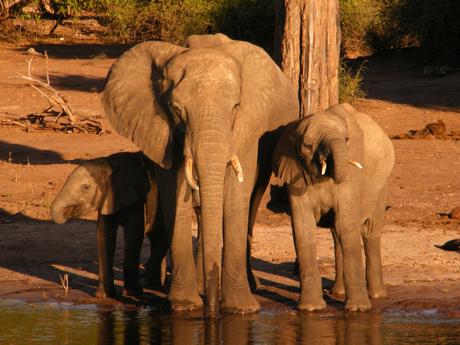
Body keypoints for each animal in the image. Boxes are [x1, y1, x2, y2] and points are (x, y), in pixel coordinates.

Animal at [51, 152, 166, 296]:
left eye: (85, 187)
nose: (67, 214)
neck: (109, 164)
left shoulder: (134, 197)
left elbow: (134, 234)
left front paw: (131, 293)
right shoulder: (107, 197)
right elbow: (104, 235)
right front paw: (104, 296)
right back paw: (154, 284)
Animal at [101, 33, 298, 314]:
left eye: (236, 106)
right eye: (175, 109)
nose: (212, 311)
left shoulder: (246, 130)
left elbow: (237, 193)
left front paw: (241, 309)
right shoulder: (165, 132)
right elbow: (174, 194)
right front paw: (184, 306)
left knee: (253, 197)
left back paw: (245, 285)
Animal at [274, 102, 396, 312]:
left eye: (347, 140)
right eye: (307, 146)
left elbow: (345, 225)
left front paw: (359, 310)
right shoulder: (297, 175)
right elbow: (303, 227)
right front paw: (311, 309)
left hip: (382, 184)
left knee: (369, 231)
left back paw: (377, 295)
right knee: (337, 236)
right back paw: (338, 292)